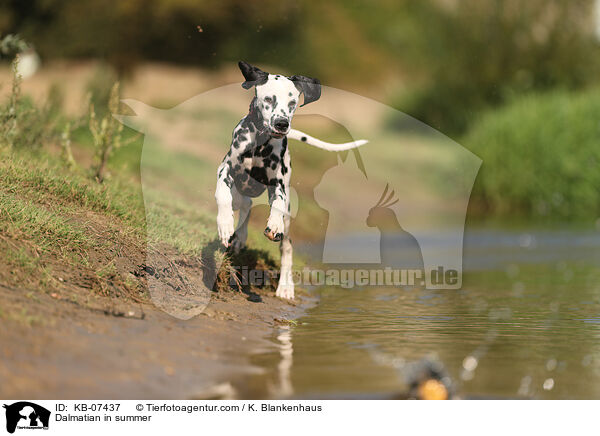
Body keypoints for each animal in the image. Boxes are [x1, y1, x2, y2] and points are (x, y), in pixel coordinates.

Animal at [216, 62, 366, 300]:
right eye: (269, 99)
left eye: (292, 103)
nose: (281, 123)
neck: (259, 144)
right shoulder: (225, 170)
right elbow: (223, 194)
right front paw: (225, 225)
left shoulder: (278, 186)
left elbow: (277, 203)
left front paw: (273, 222)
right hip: (240, 191)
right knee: (244, 204)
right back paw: (238, 235)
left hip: (286, 222)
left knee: (286, 247)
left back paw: (285, 286)